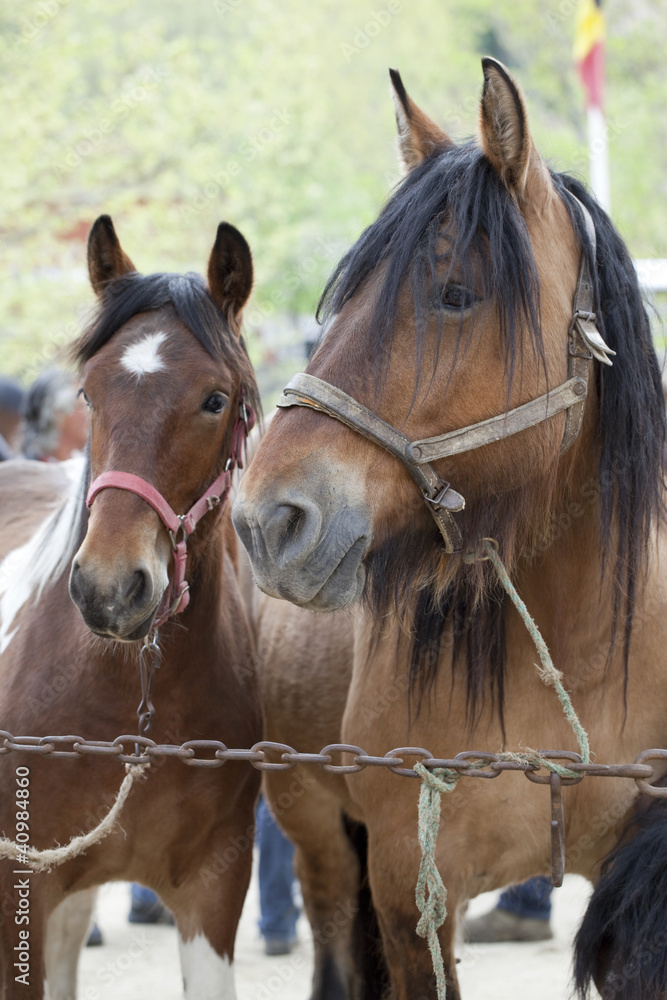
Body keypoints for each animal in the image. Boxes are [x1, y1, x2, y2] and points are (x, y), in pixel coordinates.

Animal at [234, 58, 667, 996]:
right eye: (341, 300)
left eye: (455, 295)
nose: (266, 521)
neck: (569, 652)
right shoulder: (409, 892)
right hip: (318, 835)